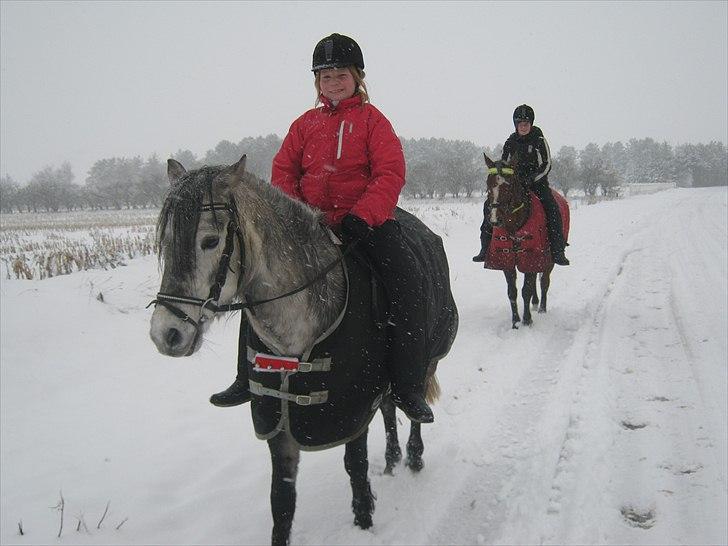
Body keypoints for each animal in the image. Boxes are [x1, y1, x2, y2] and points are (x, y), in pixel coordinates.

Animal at [484, 153, 568, 328]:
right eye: (488, 184)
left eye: (508, 185)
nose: (494, 219)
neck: (514, 224)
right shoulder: (507, 259)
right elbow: (512, 292)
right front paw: (515, 321)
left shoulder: (531, 255)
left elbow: (526, 290)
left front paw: (527, 319)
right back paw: (535, 304)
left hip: (548, 259)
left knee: (544, 282)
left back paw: (541, 308)